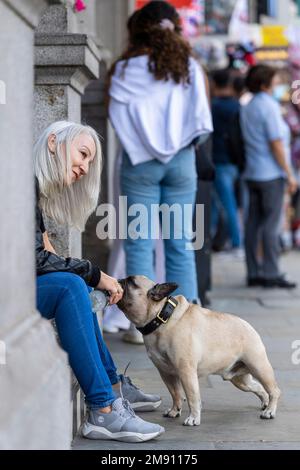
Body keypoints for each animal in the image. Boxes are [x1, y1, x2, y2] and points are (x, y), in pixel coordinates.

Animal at [118, 276, 282, 426]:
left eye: (131, 282)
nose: (119, 280)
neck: (162, 318)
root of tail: (250, 327)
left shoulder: (186, 371)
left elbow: (192, 397)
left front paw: (193, 418)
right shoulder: (166, 373)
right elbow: (175, 393)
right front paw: (174, 411)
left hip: (259, 366)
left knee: (274, 390)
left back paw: (269, 411)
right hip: (240, 380)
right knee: (259, 388)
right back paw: (265, 403)